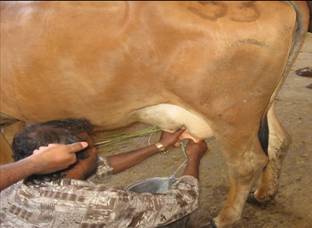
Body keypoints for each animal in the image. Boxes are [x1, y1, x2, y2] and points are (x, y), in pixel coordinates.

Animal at [0, 0, 310, 227]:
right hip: (260, 104)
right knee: (278, 141)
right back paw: (264, 193)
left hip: (231, 113)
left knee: (247, 163)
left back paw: (224, 218)